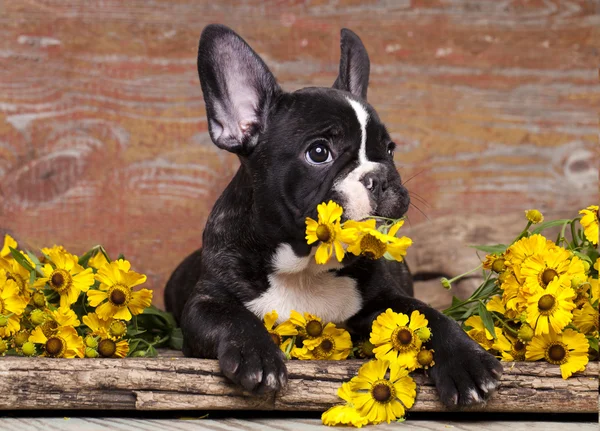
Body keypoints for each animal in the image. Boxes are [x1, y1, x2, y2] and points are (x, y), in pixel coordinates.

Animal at [164, 25, 502, 410]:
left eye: (389, 150)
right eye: (318, 152)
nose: (380, 176)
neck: (305, 266)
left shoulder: (387, 300)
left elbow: (429, 317)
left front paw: (467, 361)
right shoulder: (204, 304)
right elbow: (232, 318)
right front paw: (257, 355)